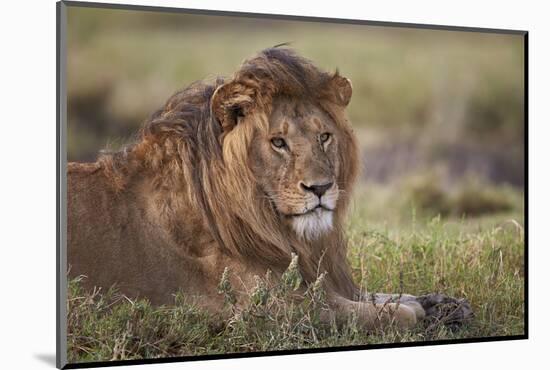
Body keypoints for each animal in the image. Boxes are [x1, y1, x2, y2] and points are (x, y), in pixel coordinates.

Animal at [69, 47, 474, 330]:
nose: (320, 188)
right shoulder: (271, 307)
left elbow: (384, 294)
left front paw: (446, 304)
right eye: (278, 142)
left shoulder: (320, 279)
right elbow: (393, 313)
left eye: (324, 137)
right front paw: (417, 311)